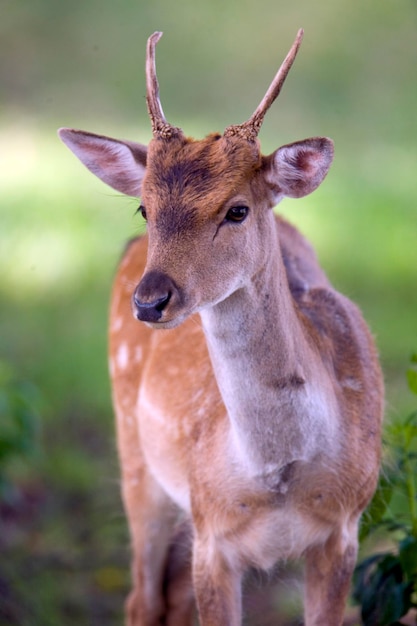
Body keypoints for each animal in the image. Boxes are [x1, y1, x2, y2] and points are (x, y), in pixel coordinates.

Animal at [59, 29, 384, 624]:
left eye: (237, 210)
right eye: (144, 208)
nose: (151, 300)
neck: (279, 477)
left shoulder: (345, 529)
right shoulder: (211, 533)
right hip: (137, 459)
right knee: (142, 598)